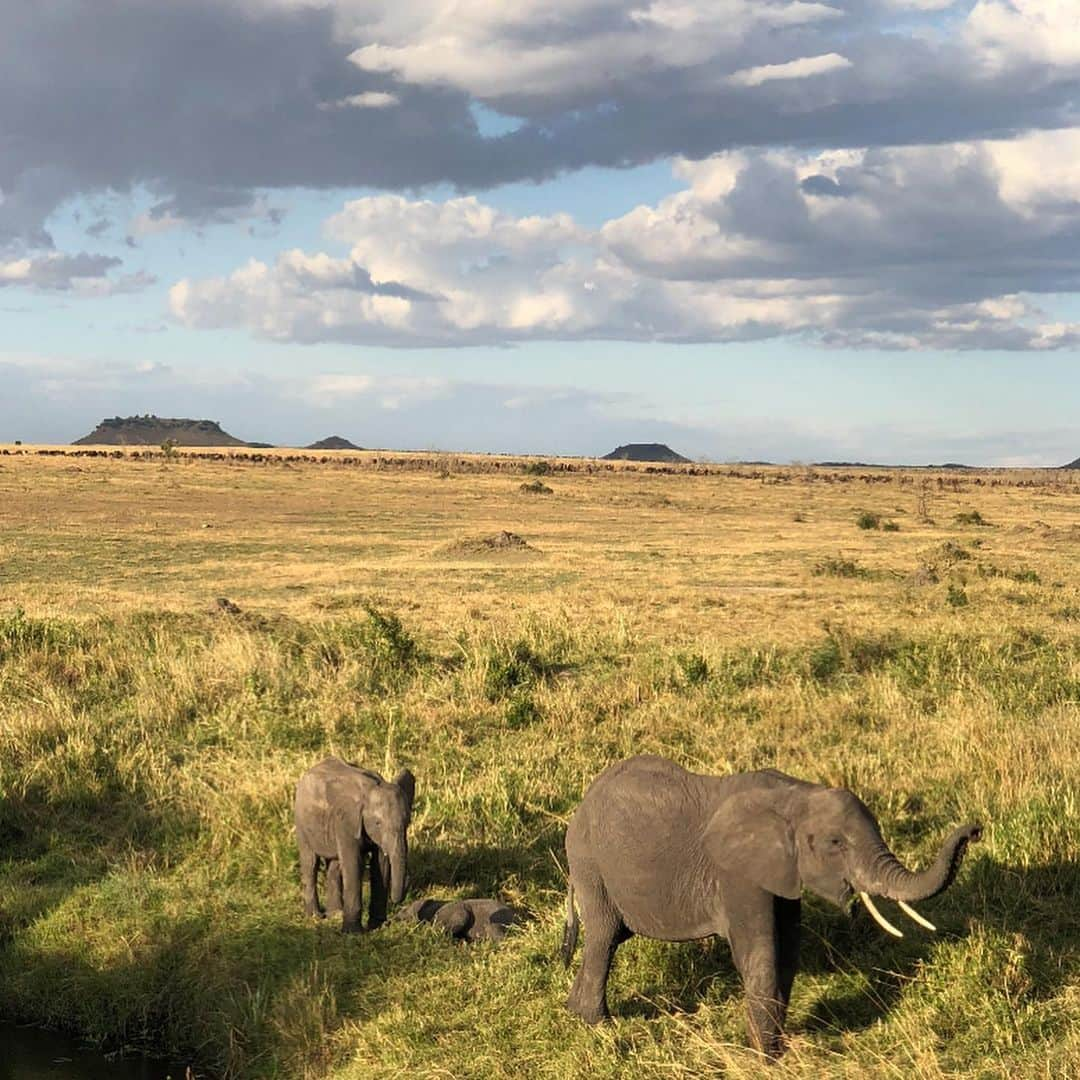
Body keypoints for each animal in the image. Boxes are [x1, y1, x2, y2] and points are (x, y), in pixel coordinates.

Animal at [293, 756, 414, 933]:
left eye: (407, 822)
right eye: (377, 823)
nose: (407, 883)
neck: (370, 789)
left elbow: (381, 864)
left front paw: (377, 926)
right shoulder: (346, 821)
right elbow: (354, 863)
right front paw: (353, 932)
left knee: (334, 866)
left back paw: (335, 914)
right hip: (301, 822)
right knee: (310, 863)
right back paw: (315, 916)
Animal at [561, 756, 984, 1058]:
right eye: (835, 844)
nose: (976, 830)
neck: (796, 796)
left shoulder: (782, 873)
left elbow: (788, 949)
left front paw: (774, 1049)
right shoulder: (737, 872)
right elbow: (760, 950)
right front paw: (765, 1058)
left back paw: (574, 1013)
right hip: (588, 861)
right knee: (604, 936)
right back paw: (597, 1023)